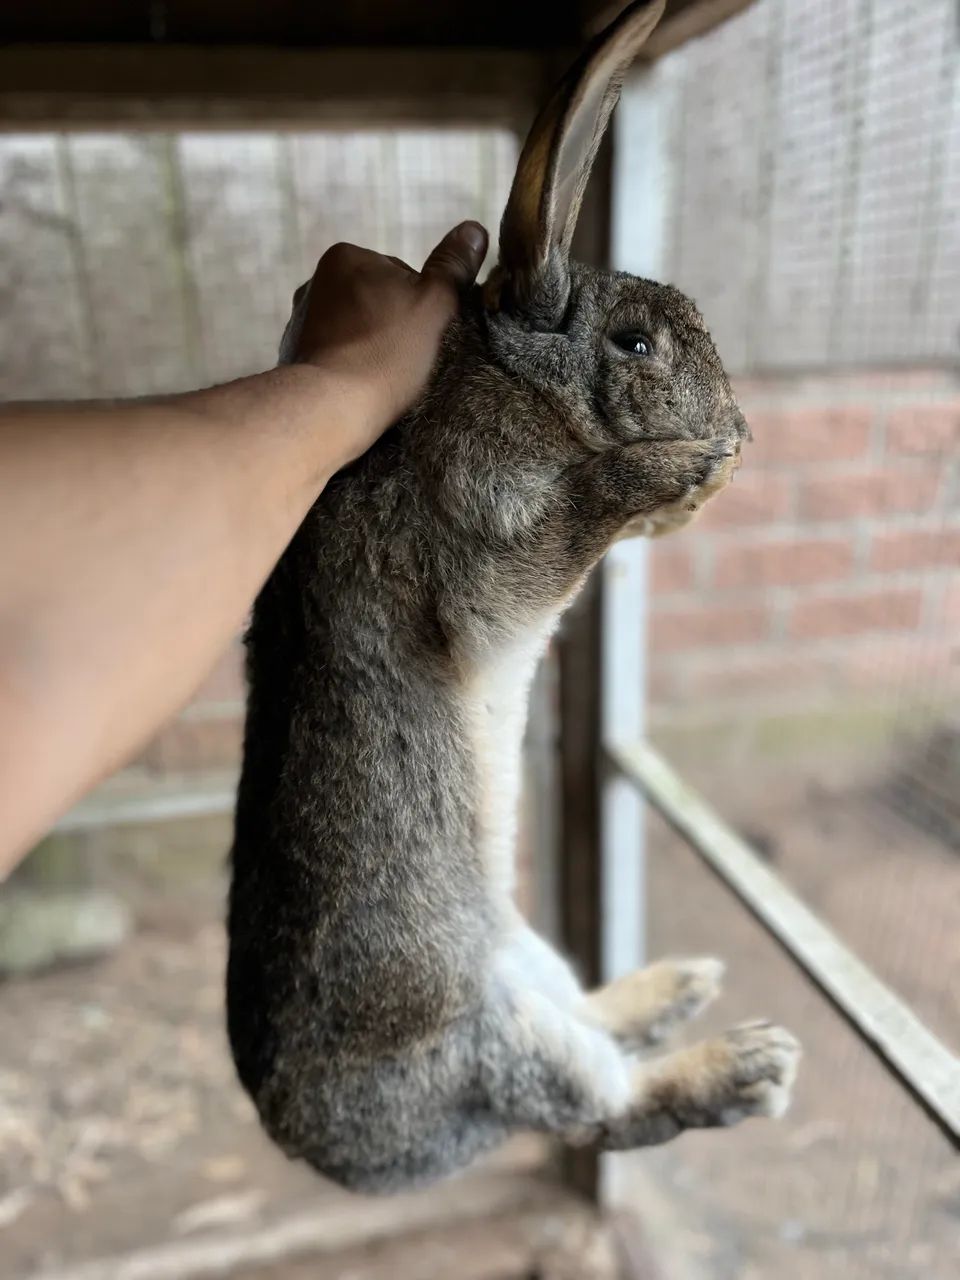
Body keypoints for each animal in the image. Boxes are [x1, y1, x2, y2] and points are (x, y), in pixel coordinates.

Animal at [227, 0, 799, 1195]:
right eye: (635, 341)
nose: (737, 427)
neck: (509, 381)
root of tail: (326, 1151)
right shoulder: (481, 541)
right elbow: (567, 522)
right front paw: (679, 469)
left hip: (530, 961)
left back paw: (676, 985)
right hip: (506, 1043)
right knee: (607, 1107)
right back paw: (748, 1060)